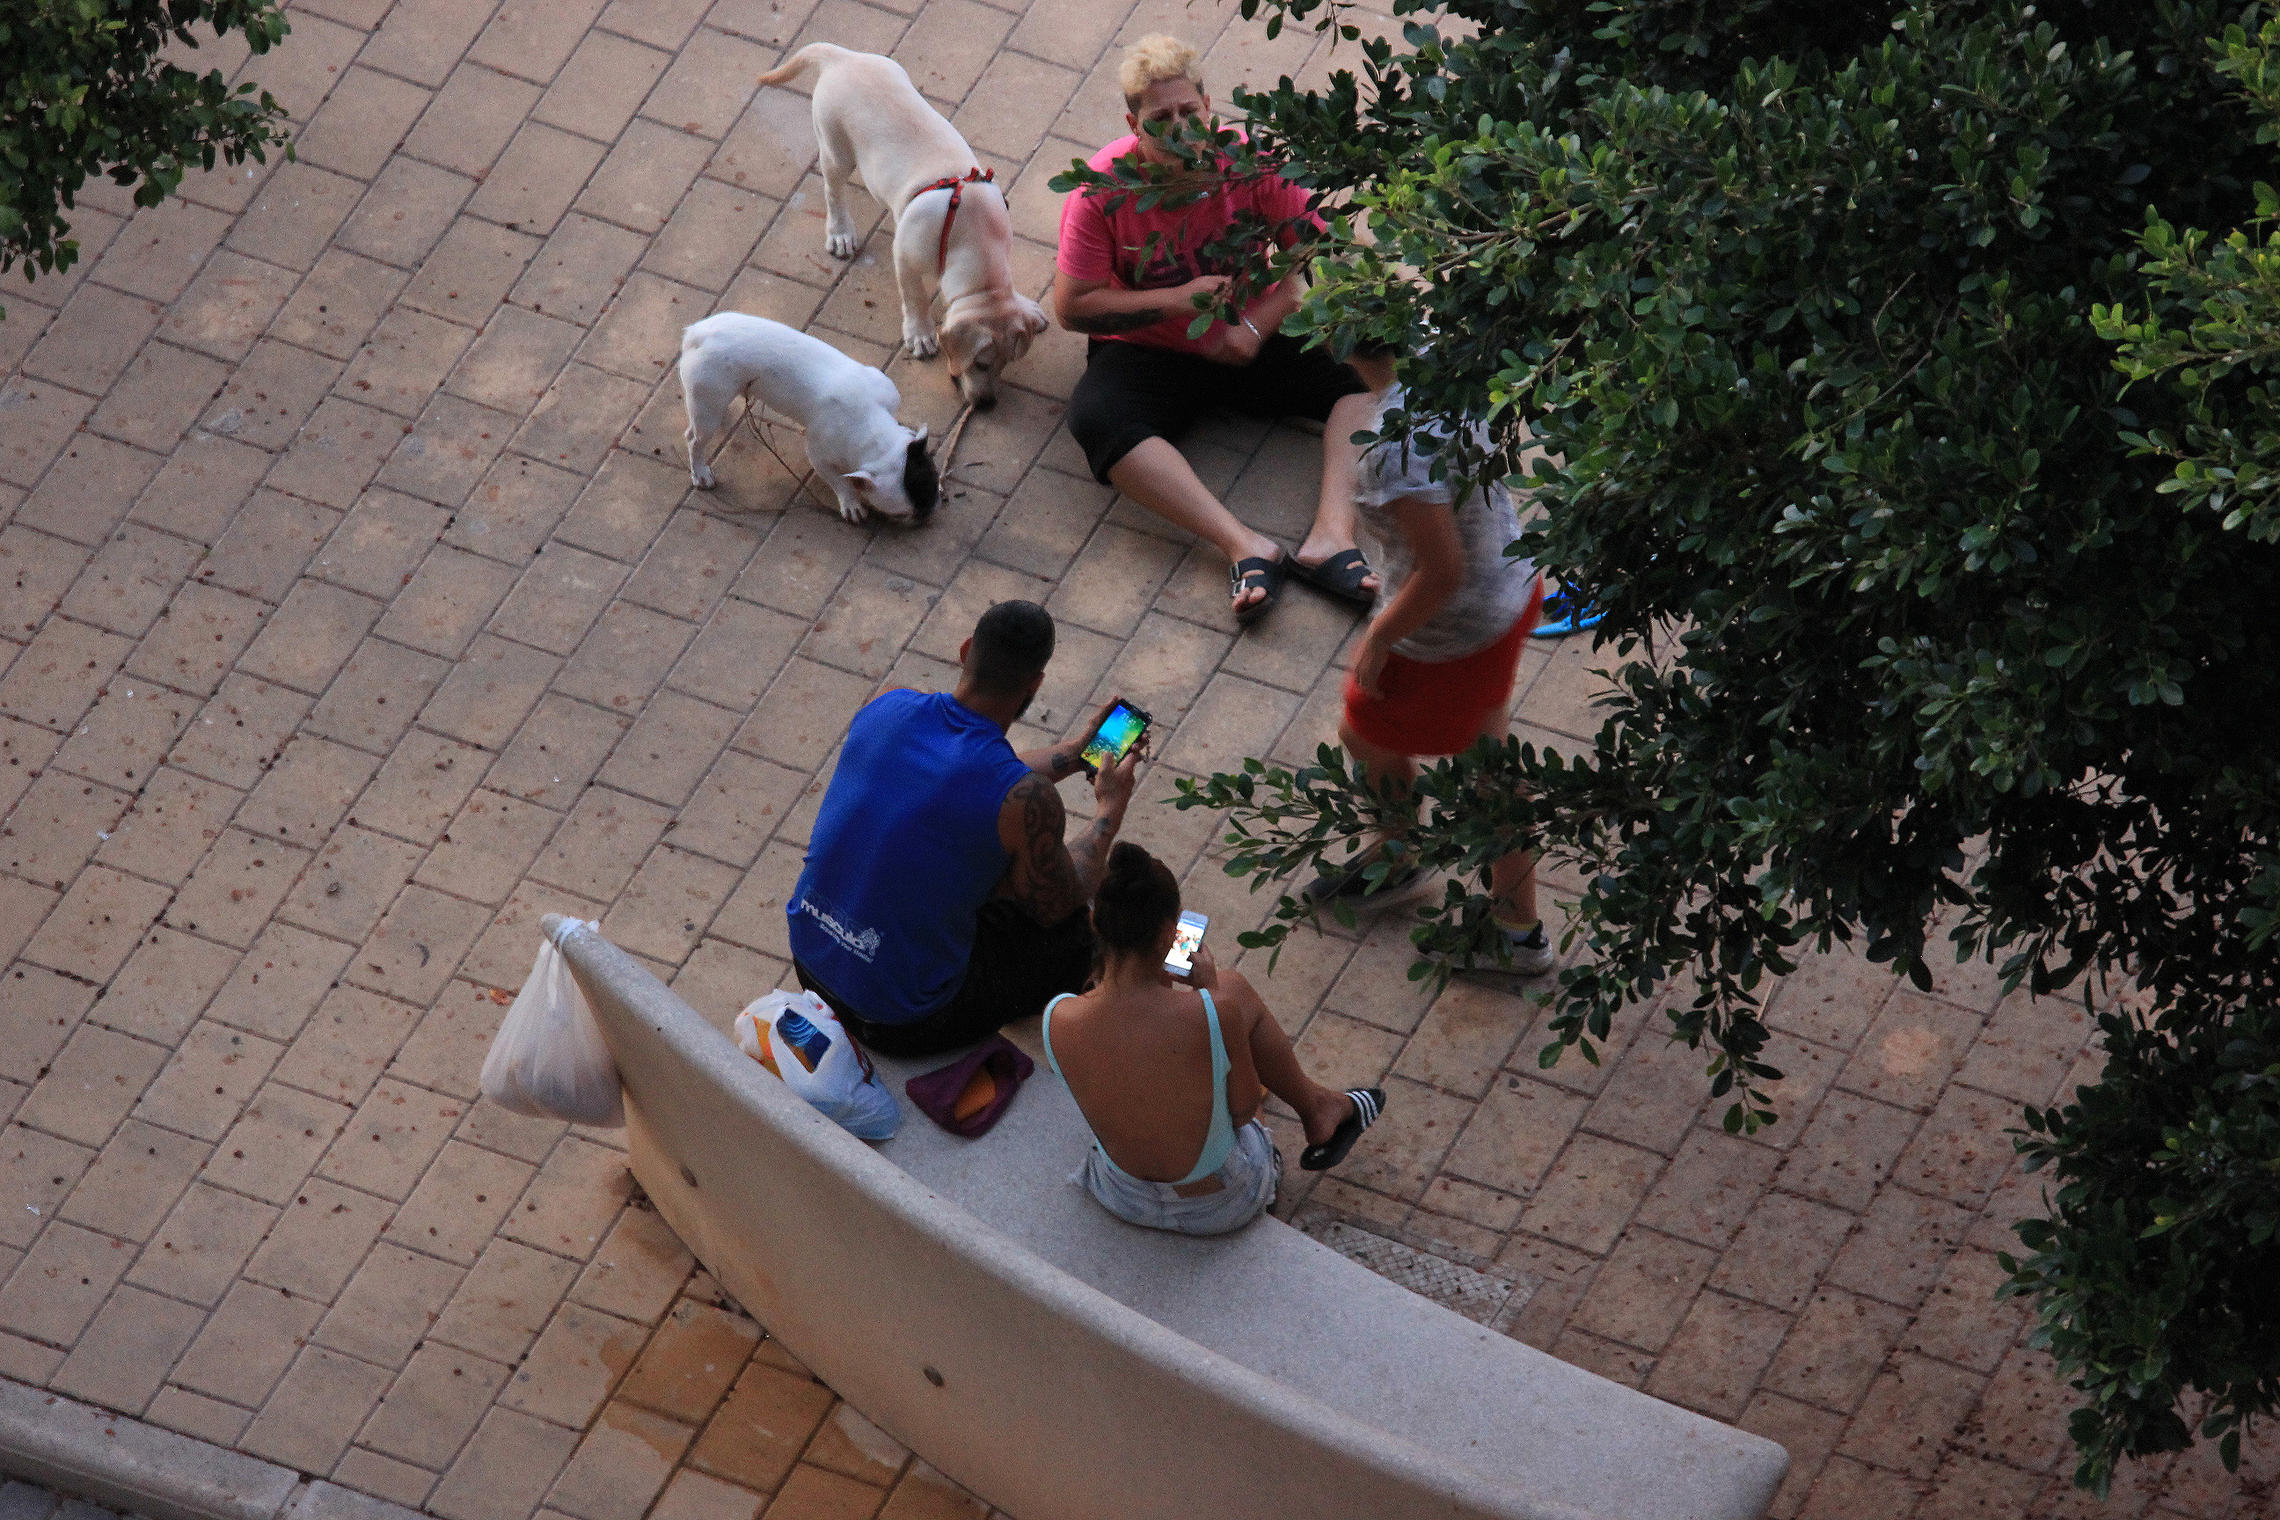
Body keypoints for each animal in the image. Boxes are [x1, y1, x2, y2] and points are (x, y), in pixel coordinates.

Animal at [679, 313, 938, 525]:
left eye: (932, 483)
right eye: (901, 514)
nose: (924, 515)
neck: (872, 428)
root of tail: (696, 333)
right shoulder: (820, 454)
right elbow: (838, 480)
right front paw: (851, 502)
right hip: (707, 396)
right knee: (694, 439)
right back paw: (700, 473)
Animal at [756, 43, 1049, 409]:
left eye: (1006, 365)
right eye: (980, 364)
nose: (986, 405)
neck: (976, 235)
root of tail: (842, 58)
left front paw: (1030, 308)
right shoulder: (906, 256)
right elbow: (915, 296)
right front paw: (920, 334)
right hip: (836, 147)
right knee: (832, 189)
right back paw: (840, 232)